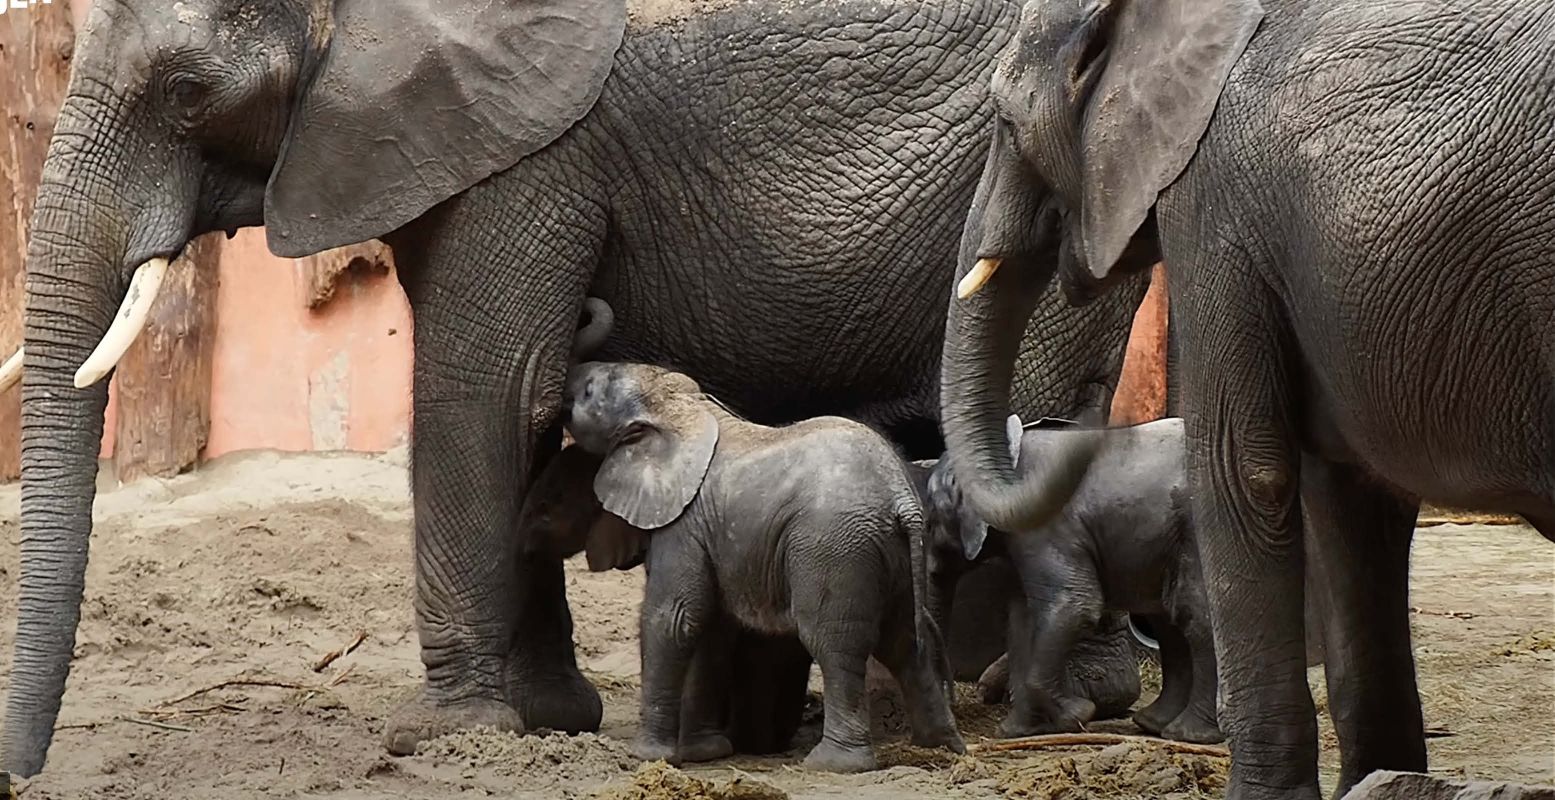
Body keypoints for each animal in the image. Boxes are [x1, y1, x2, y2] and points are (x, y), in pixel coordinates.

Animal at [566, 359, 964, 765]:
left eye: (589, 392)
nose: (571, 378)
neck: (678, 404)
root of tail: (903, 501)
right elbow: (711, 628)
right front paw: (704, 753)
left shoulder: (684, 521)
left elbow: (673, 620)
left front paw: (649, 756)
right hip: (894, 553)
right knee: (904, 642)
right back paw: (941, 746)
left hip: (834, 546)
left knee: (834, 642)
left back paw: (833, 764)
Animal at [914, 417, 1219, 740]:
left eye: (930, 524)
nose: (951, 705)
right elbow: (1022, 620)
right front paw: (1018, 730)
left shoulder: (1047, 528)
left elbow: (1072, 606)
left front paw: (1078, 715)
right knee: (1168, 622)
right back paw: (1154, 724)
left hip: (1196, 531)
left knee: (1191, 616)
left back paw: (1187, 734)